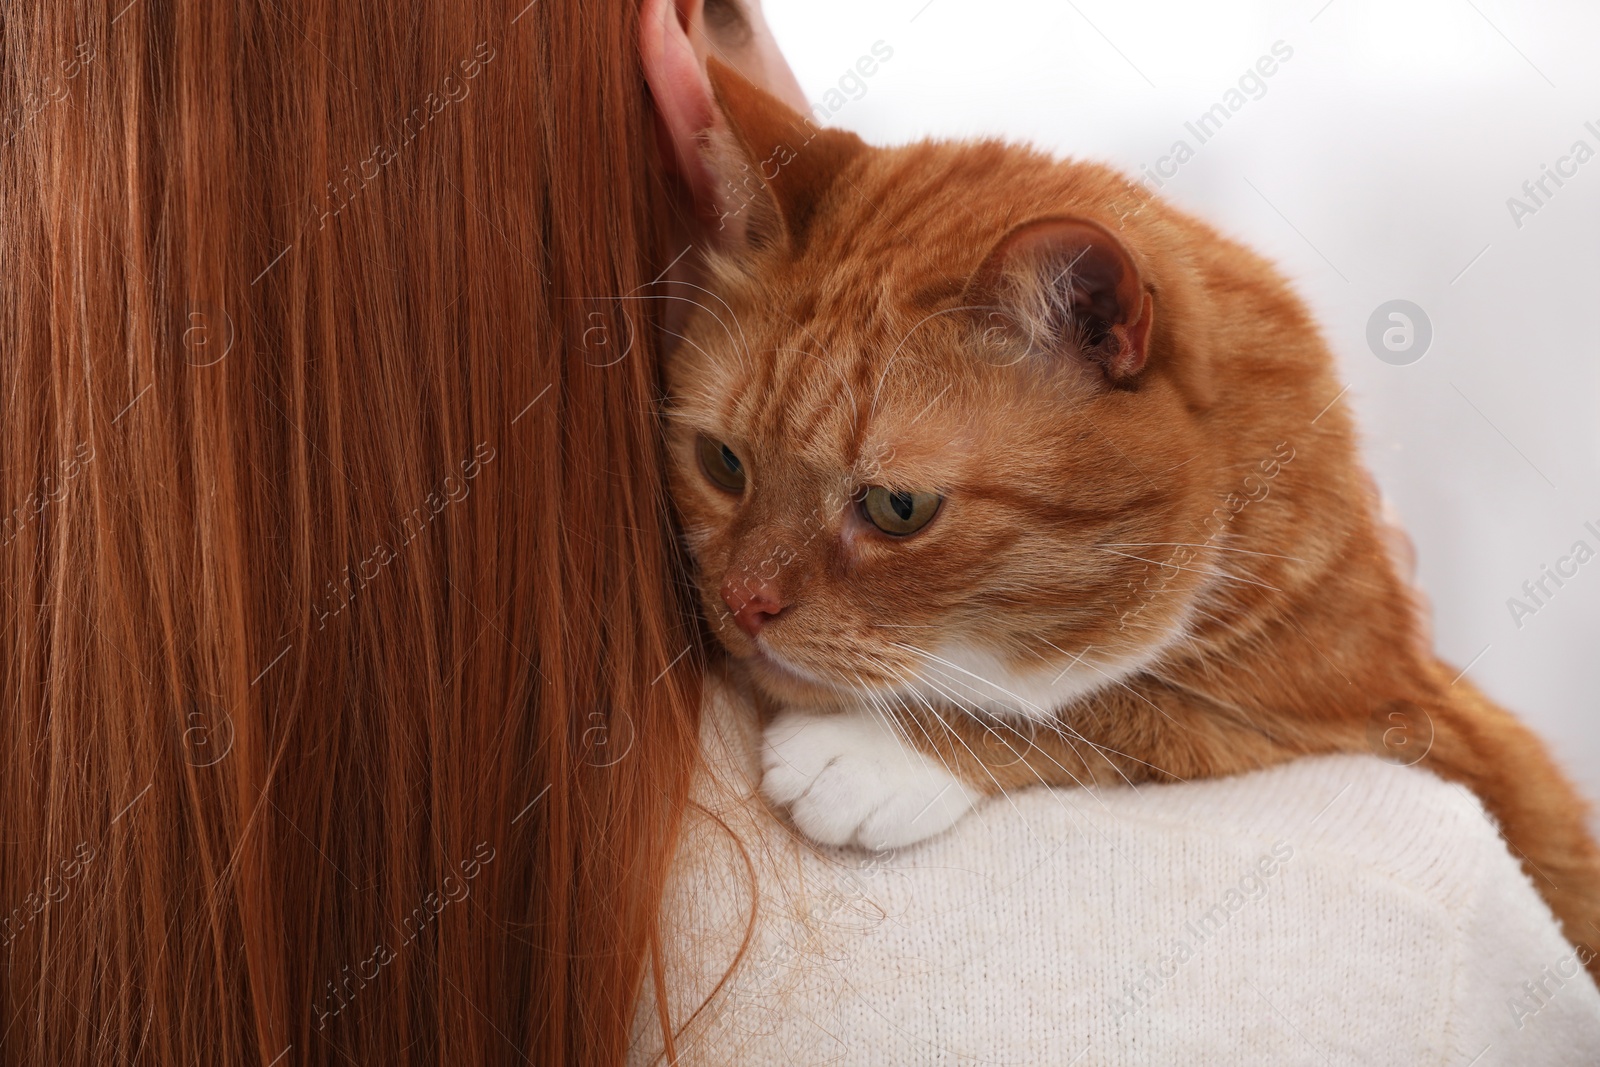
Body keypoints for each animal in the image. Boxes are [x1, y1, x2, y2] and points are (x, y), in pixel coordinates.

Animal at [656, 60, 1593, 979]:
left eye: (897, 508)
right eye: (723, 463)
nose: (744, 603)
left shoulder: (1392, 717)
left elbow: (1119, 704)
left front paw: (877, 753)